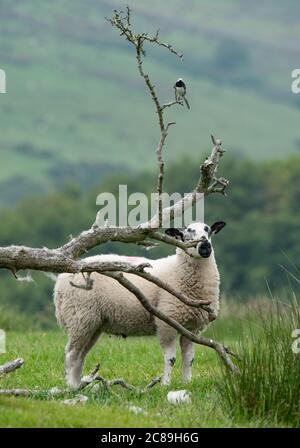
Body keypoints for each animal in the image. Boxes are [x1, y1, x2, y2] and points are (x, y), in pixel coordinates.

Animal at [55, 221, 226, 388]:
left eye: (208, 230)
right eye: (187, 233)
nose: (205, 246)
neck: (179, 270)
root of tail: (60, 282)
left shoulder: (192, 328)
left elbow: (189, 358)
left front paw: (187, 382)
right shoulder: (167, 322)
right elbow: (170, 358)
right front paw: (166, 384)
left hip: (93, 323)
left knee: (80, 355)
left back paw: (77, 384)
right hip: (80, 316)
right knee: (71, 353)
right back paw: (71, 386)